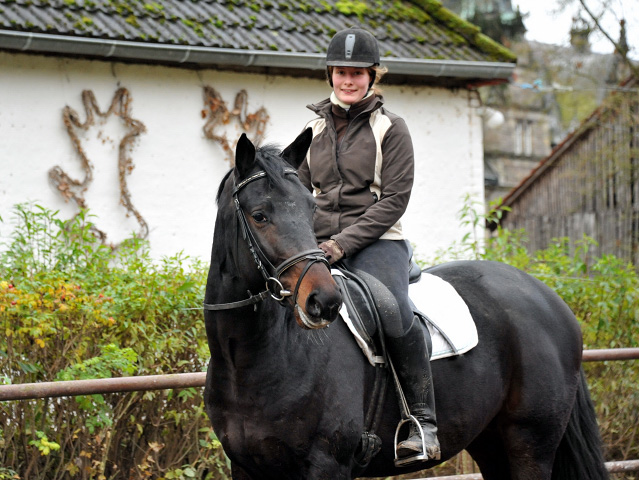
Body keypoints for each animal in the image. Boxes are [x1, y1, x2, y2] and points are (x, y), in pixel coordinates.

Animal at [205, 130, 608, 480]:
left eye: (309, 209)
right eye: (259, 215)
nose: (325, 301)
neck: (252, 361)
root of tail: (547, 296)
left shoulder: (326, 465)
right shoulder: (245, 468)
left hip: (529, 443)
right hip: (491, 444)